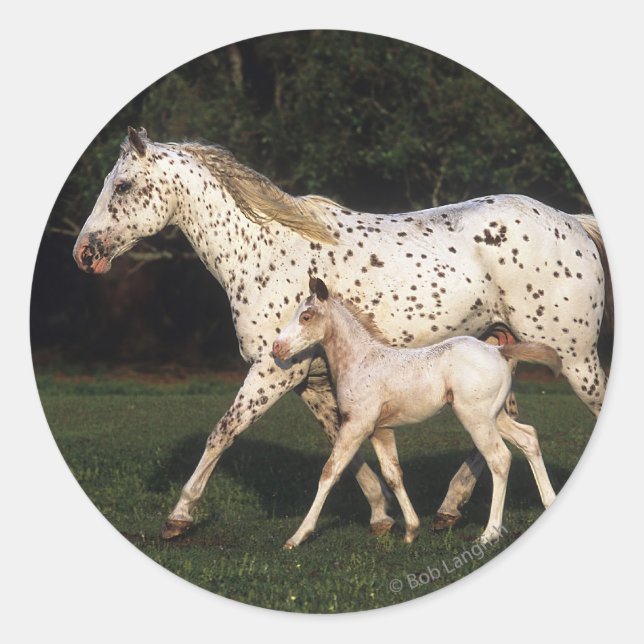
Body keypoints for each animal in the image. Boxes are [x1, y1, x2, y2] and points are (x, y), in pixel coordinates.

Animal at [272, 277, 561, 547]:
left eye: (306, 316)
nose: (277, 348)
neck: (361, 361)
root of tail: (499, 350)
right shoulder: (380, 430)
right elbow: (393, 476)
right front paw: (411, 531)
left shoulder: (357, 424)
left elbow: (330, 472)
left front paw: (297, 536)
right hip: (495, 416)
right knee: (528, 437)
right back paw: (549, 502)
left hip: (476, 418)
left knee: (500, 459)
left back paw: (489, 533)